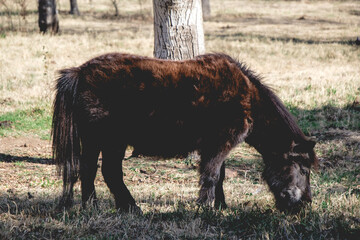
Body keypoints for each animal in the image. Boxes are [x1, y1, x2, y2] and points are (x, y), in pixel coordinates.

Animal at [51, 52, 318, 212]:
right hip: (107, 141)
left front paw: (220, 206)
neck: (248, 98)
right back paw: (118, 207)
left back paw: (105, 206)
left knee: (94, 171)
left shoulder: (216, 145)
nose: (306, 204)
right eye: (304, 169)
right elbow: (211, 175)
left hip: (102, 142)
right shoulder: (220, 145)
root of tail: (80, 72)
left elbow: (219, 176)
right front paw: (204, 208)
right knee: (104, 172)